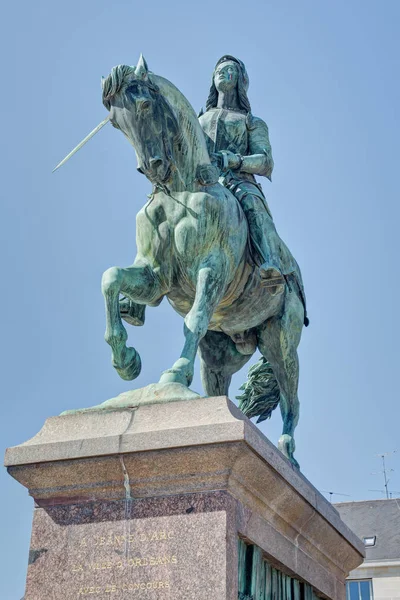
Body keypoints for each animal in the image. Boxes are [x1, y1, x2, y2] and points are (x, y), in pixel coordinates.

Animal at [101, 56, 304, 466]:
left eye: (144, 105)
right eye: (116, 122)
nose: (153, 167)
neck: (180, 191)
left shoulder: (213, 269)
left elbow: (193, 319)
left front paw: (175, 374)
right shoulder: (154, 278)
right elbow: (111, 277)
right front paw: (126, 360)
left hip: (281, 339)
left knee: (292, 397)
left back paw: (287, 452)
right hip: (221, 354)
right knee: (219, 386)